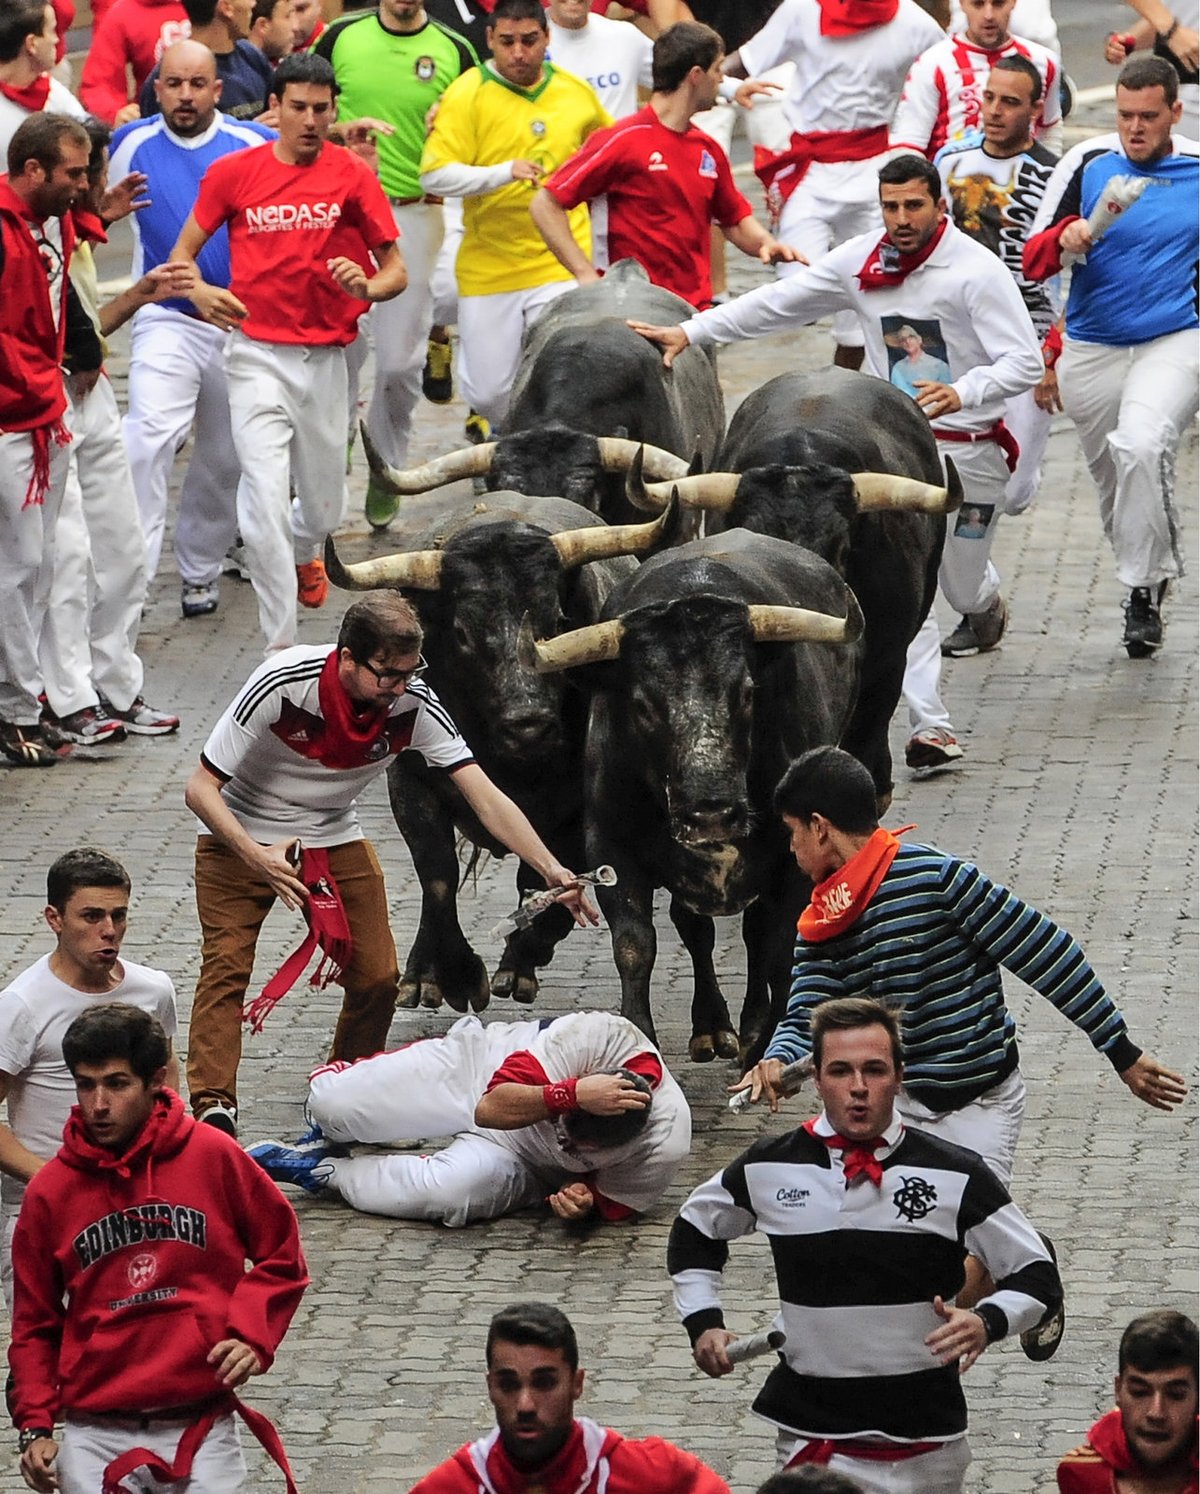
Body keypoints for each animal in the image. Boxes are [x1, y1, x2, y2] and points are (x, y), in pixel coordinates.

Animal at [523, 531, 860, 1057]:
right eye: (642, 704)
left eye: (747, 692)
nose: (711, 814)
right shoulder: (611, 848)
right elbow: (635, 945)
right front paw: (639, 1034)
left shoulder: (794, 860)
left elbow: (779, 948)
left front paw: (766, 1043)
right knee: (695, 927)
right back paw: (711, 1026)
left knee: (754, 933)